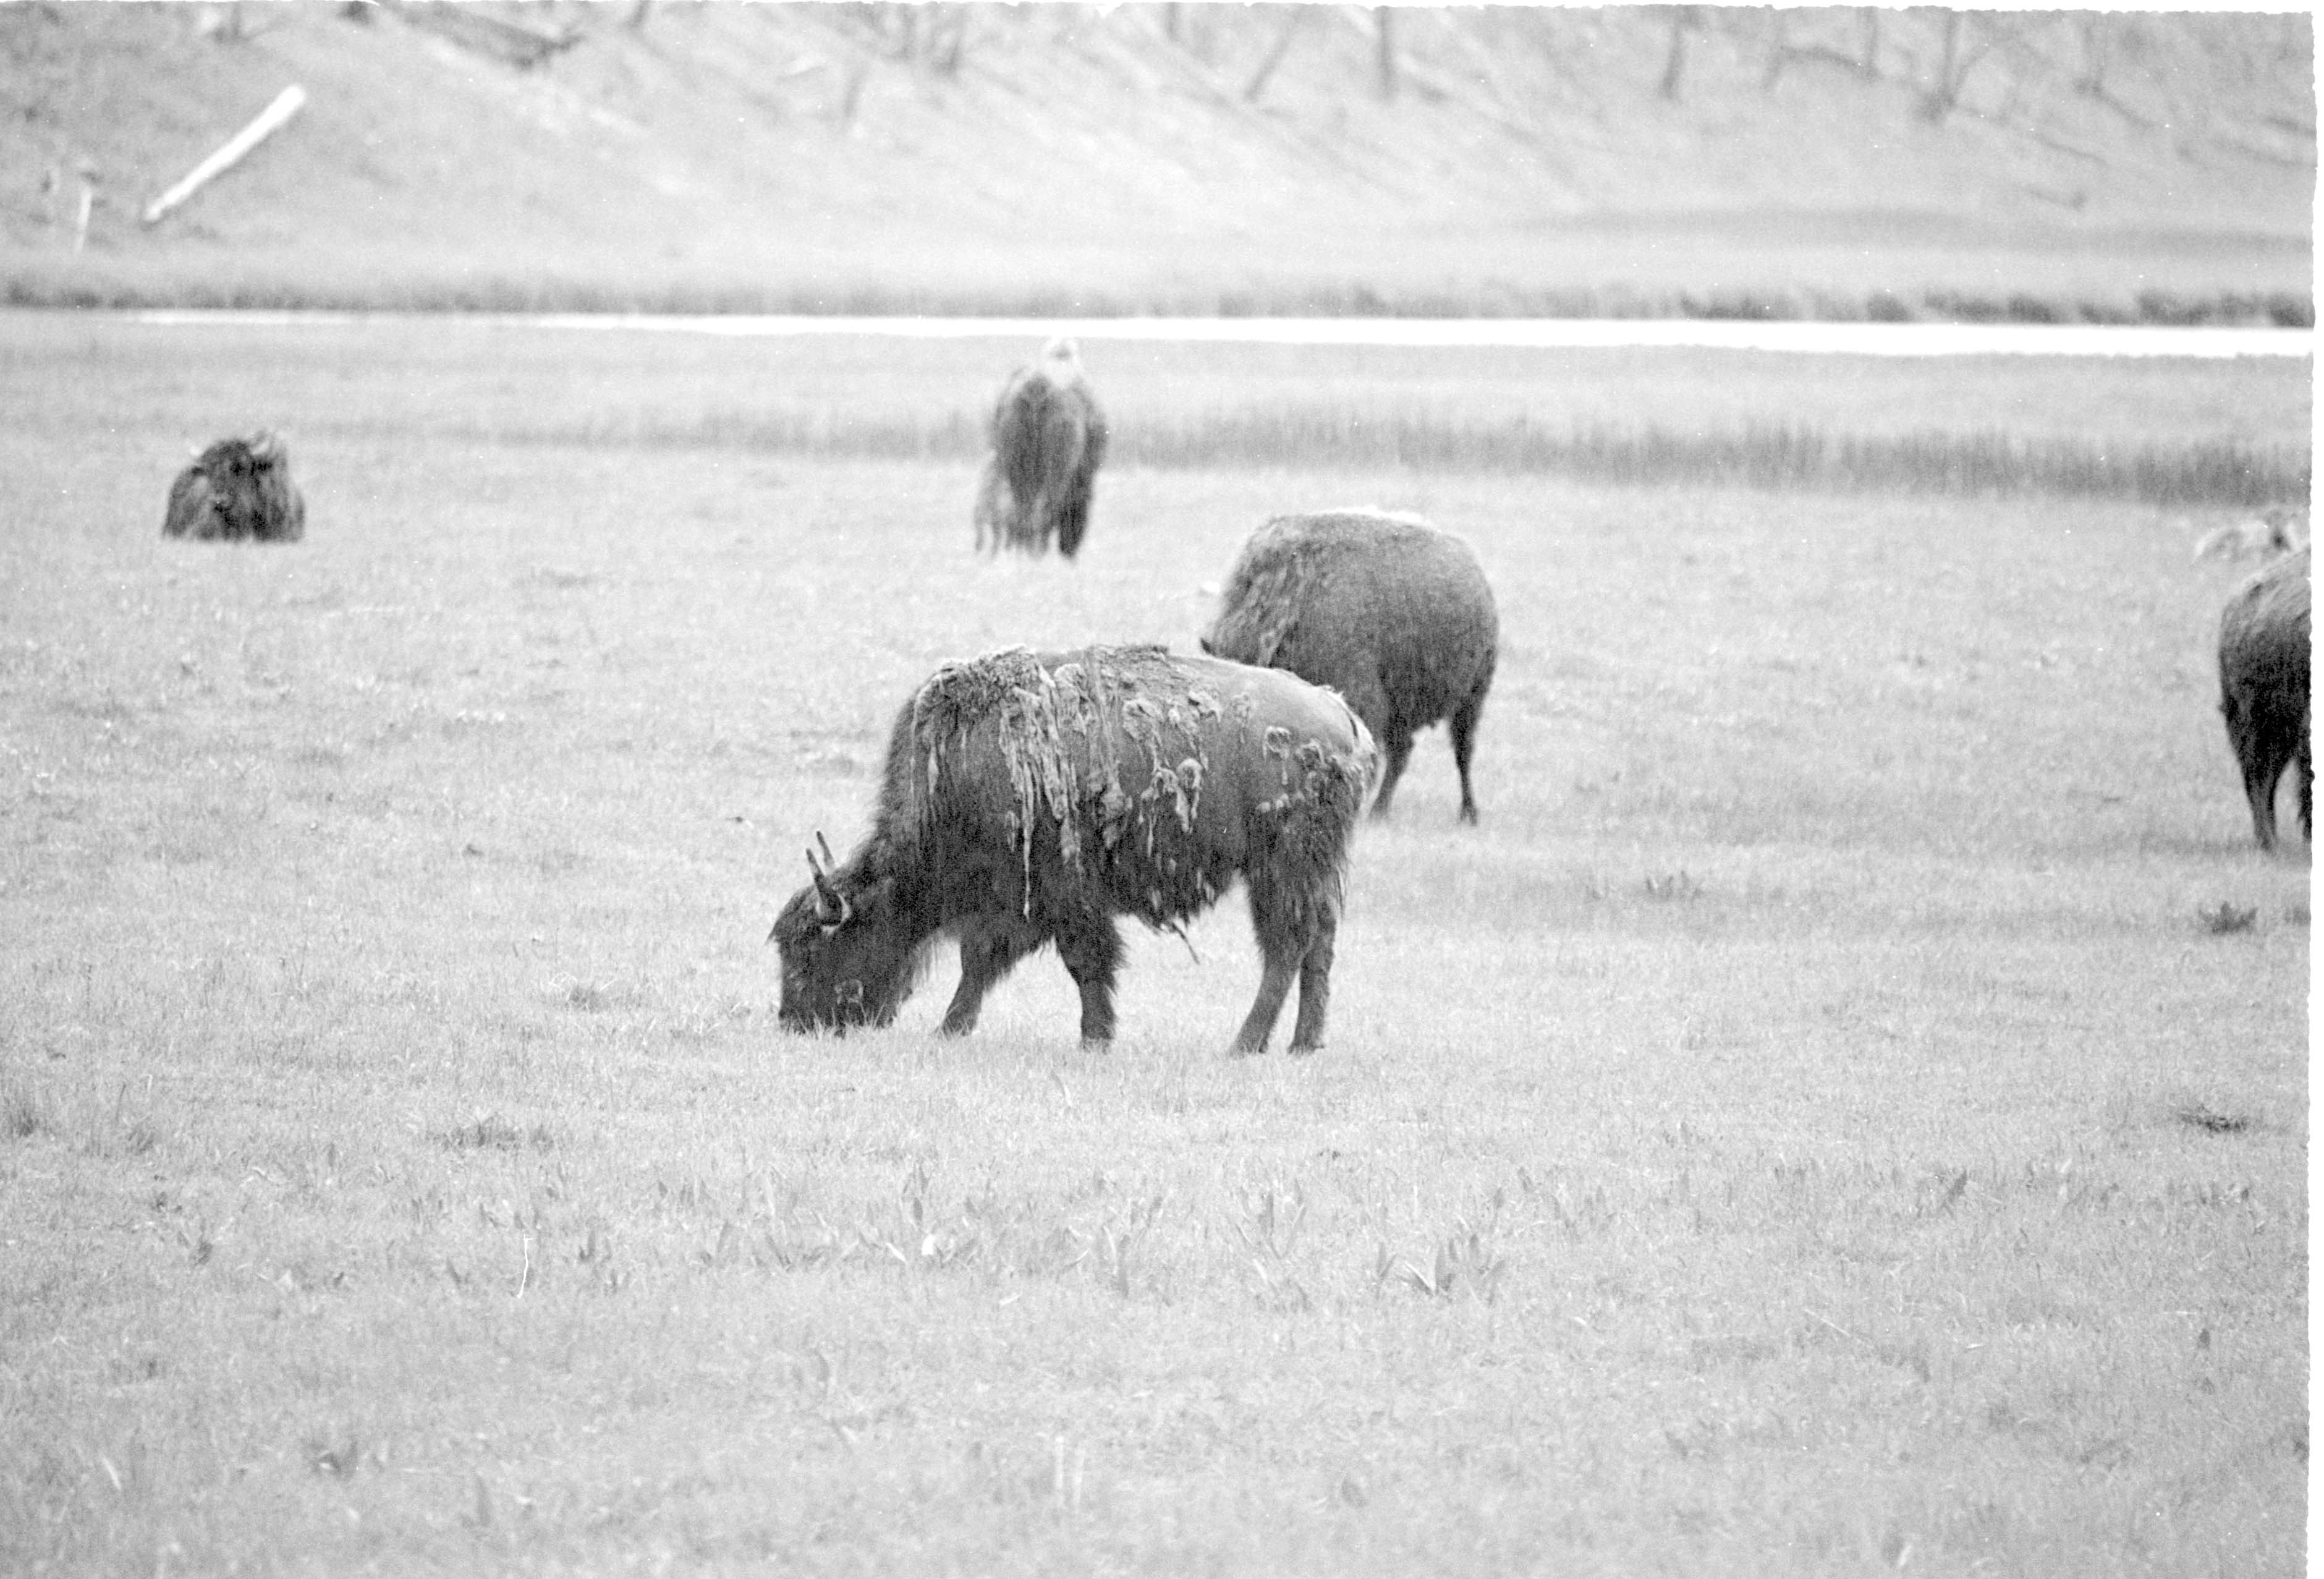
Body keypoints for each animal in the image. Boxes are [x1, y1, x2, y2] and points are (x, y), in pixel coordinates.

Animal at [769, 645, 1376, 1055]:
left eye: (815, 949)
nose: (794, 1022)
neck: (959, 771)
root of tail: (1341, 716)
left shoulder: (1060, 896)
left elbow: (1081, 962)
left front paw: (1094, 1039)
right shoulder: (1019, 906)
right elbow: (983, 963)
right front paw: (953, 1029)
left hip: (1281, 867)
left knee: (1286, 948)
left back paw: (1244, 1045)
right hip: (1313, 871)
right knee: (1318, 947)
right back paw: (1303, 1045)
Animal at [976, 339, 1107, 559]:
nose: (1069, 550)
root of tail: (1037, 388)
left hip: (1018, 472)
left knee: (1022, 513)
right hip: (1054, 474)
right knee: (1041, 513)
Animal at [1202, 509, 1499, 824]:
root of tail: (1478, 578)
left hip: (1471, 699)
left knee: (1462, 752)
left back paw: (1467, 814)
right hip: (1406, 708)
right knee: (1403, 752)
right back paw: (1381, 810)